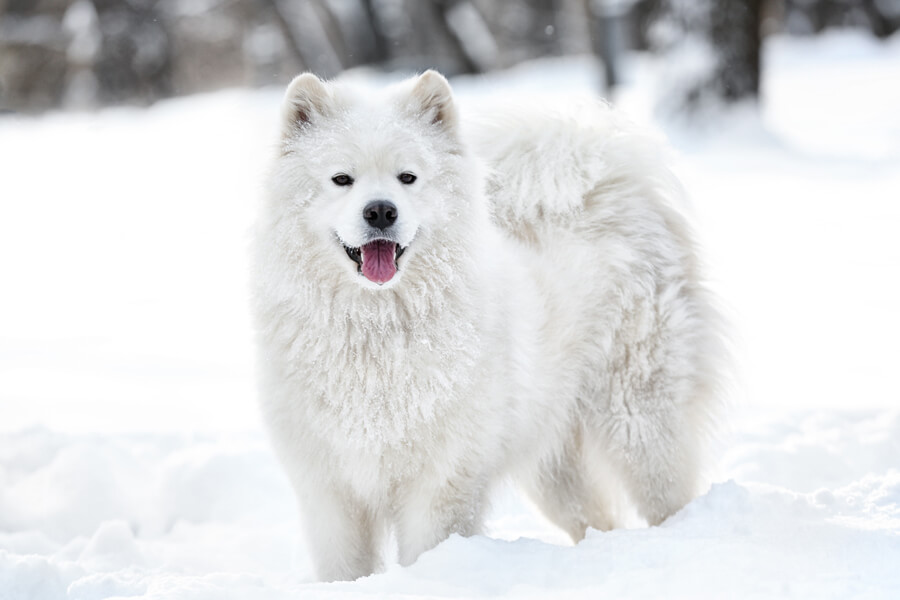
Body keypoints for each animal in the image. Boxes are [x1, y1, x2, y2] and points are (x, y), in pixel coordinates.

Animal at [251, 70, 724, 580]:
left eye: (407, 177)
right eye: (342, 179)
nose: (380, 210)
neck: (376, 329)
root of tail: (609, 188)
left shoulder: (440, 483)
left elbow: (427, 551)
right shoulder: (331, 492)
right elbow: (345, 567)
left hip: (641, 424)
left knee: (668, 499)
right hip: (554, 463)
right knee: (597, 518)